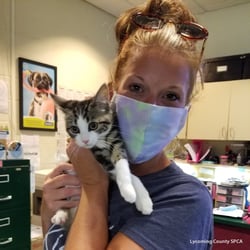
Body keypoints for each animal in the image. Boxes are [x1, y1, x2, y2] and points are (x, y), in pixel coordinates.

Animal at [50, 83, 152, 227]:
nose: (85, 141)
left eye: (93, 125)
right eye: (75, 129)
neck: (102, 139)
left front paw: (140, 198)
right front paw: (130, 192)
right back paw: (60, 214)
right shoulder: (97, 155)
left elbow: (123, 164)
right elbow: (115, 169)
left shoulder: (117, 140)